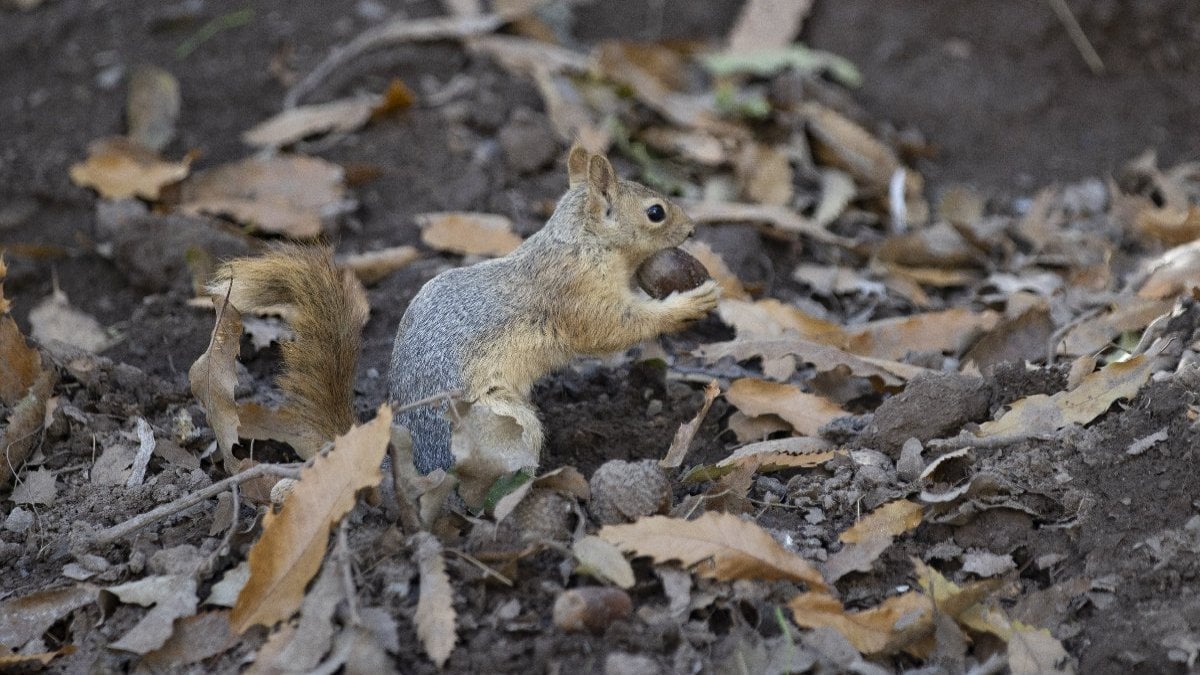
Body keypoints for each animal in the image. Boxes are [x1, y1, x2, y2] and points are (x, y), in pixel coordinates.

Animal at [207, 147, 715, 473]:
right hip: (500, 423)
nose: (693, 228)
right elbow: (612, 328)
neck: (581, 242)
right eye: (655, 212)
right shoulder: (575, 294)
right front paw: (691, 303)